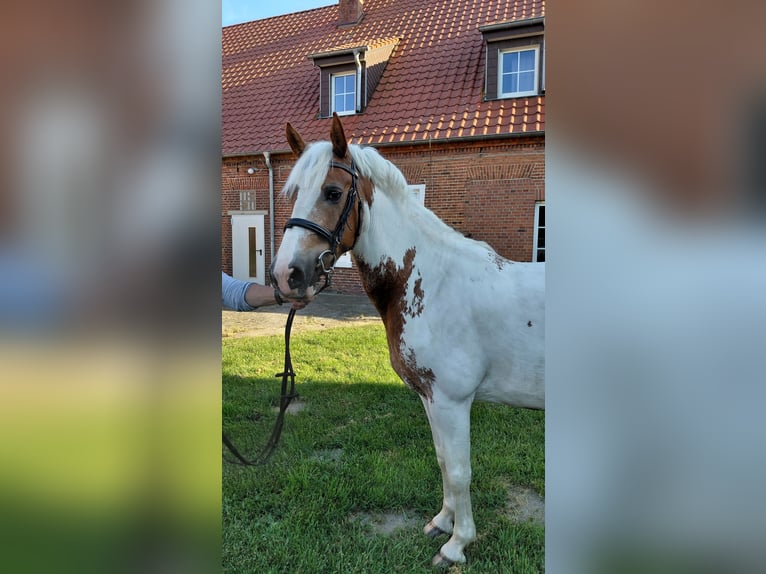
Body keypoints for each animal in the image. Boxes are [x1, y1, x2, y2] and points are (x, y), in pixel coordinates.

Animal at [270, 113, 544, 567]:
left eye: (332, 192)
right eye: (292, 194)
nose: (286, 275)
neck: (433, 280)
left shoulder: (452, 401)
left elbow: (459, 470)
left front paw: (457, 544)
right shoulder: (430, 398)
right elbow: (442, 459)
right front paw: (442, 522)